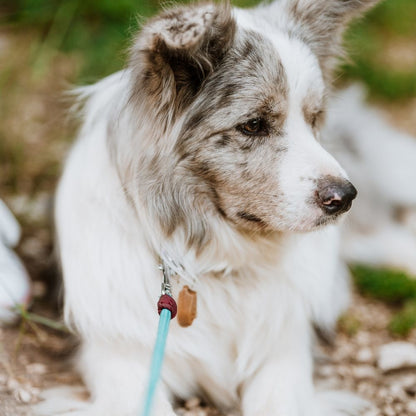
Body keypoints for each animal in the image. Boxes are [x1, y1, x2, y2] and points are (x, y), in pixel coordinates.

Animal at [34, 0, 416, 414]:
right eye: (253, 125)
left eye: (313, 119)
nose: (344, 198)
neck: (215, 260)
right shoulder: (120, 356)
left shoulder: (283, 353)